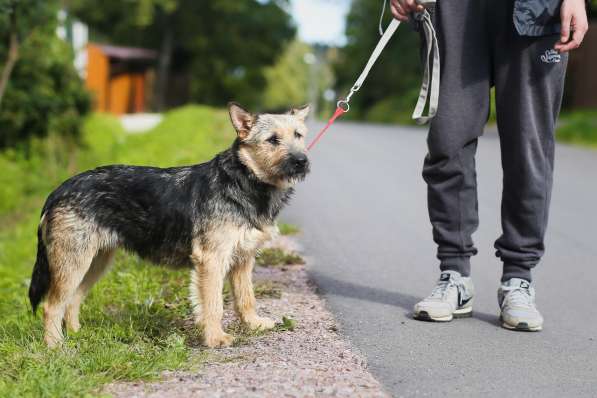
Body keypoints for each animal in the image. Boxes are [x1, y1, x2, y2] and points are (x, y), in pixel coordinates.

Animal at [27, 103, 310, 348]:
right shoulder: (212, 260)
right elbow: (214, 305)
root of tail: (59, 190)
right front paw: (215, 338)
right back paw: (55, 346)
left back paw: (77, 336)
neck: (243, 180)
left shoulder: (243, 260)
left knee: (72, 301)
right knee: (51, 306)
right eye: (272, 140)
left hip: (95, 262)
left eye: (298, 135)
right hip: (73, 262)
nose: (302, 161)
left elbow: (246, 298)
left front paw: (253, 324)